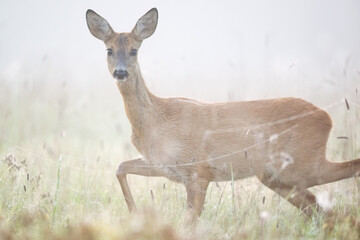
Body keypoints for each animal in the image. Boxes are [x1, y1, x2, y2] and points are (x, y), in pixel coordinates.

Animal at [86, 7, 360, 221]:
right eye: (109, 50)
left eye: (134, 50)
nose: (120, 72)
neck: (156, 121)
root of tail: (326, 117)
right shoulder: (164, 166)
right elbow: (120, 167)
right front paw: (135, 213)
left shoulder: (198, 170)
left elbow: (189, 222)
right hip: (277, 177)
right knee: (322, 213)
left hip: (303, 164)